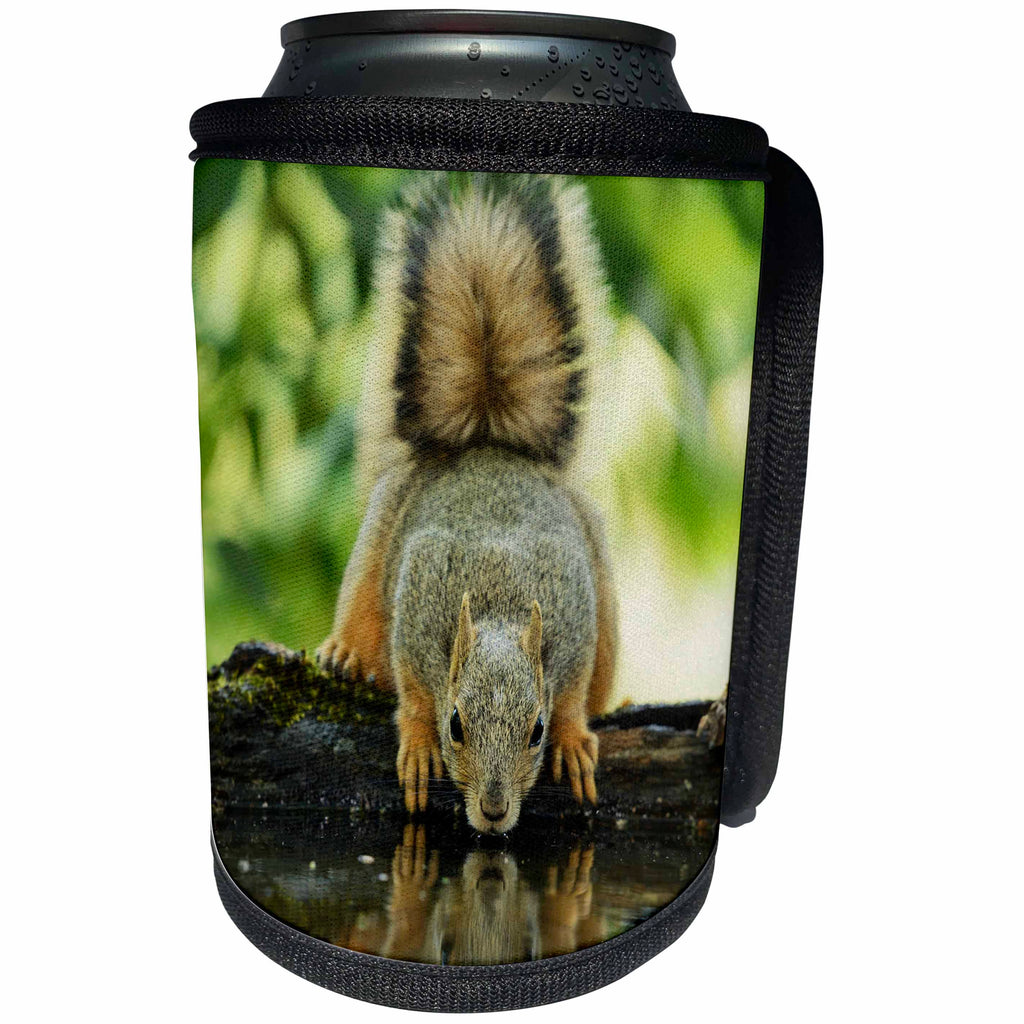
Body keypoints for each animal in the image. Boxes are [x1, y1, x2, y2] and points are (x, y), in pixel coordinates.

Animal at [318, 172, 618, 834]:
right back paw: (345, 651)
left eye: (534, 731)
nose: (494, 810)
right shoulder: (419, 599)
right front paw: (418, 743)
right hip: (381, 531)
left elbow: (573, 689)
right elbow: (412, 688)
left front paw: (572, 739)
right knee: (361, 606)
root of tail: (484, 443)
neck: (499, 600)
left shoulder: (575, 613)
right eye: (456, 724)